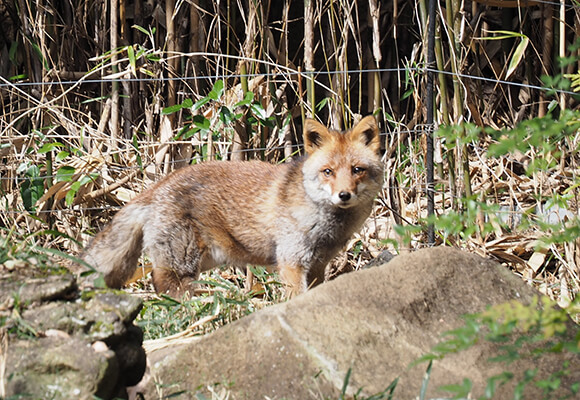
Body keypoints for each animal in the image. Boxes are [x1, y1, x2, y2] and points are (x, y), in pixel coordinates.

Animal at [80, 115, 380, 296]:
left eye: (357, 170)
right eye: (328, 172)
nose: (343, 195)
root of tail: (161, 183)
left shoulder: (318, 265)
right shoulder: (291, 262)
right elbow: (296, 295)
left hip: (205, 260)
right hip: (183, 263)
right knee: (165, 285)